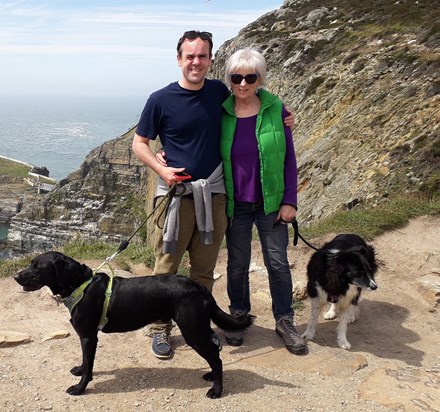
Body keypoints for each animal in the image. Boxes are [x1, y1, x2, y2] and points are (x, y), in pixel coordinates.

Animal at [13, 251, 253, 400]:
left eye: (37, 267)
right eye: (30, 264)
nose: (15, 276)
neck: (80, 284)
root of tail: (198, 286)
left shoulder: (89, 336)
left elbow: (89, 367)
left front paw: (80, 387)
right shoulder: (86, 337)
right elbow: (85, 360)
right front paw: (79, 369)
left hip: (192, 330)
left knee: (215, 357)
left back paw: (217, 390)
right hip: (198, 328)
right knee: (214, 352)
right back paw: (211, 377)